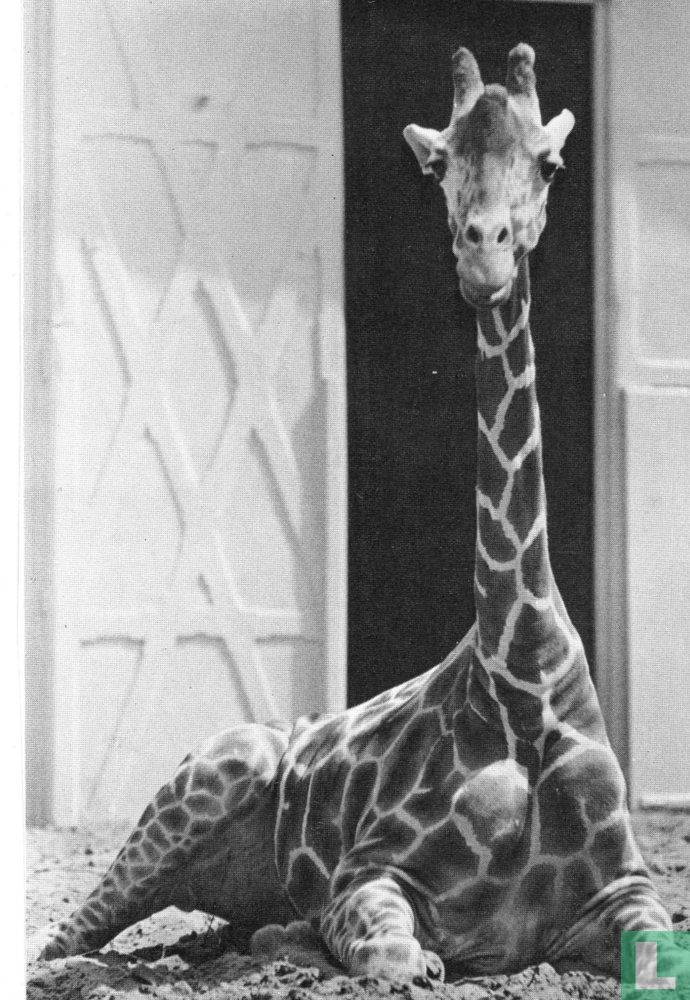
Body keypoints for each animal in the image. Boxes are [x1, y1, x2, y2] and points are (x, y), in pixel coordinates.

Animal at [30, 44, 675, 983]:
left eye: (550, 163)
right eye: (438, 164)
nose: (484, 260)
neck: (520, 663)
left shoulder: (626, 890)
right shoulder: (370, 877)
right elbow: (399, 960)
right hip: (219, 771)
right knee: (65, 939)